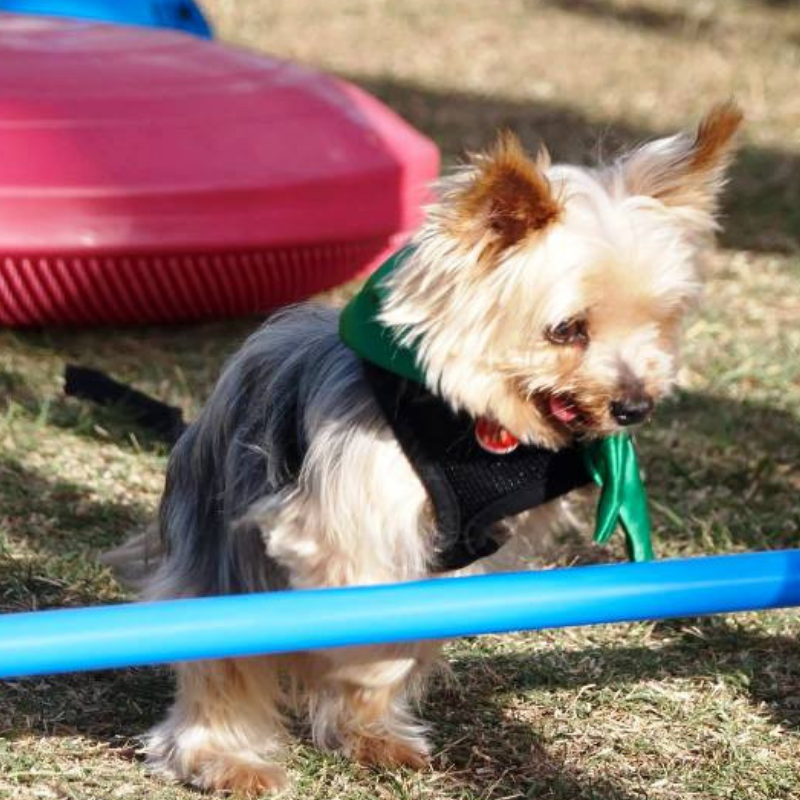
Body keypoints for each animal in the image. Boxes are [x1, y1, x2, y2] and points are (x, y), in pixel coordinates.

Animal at [120, 101, 744, 792]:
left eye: (660, 320)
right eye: (566, 330)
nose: (635, 406)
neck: (470, 423)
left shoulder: (459, 557)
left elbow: (408, 628)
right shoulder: (336, 525)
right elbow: (364, 612)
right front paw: (352, 664)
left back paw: (373, 734)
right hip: (221, 561)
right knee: (225, 672)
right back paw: (227, 759)